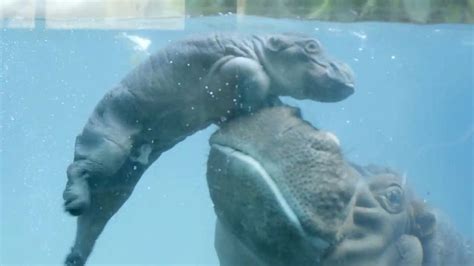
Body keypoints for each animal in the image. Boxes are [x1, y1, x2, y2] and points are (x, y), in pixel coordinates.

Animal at [63, 32, 354, 264]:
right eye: (311, 46)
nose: (347, 70)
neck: (259, 45)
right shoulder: (234, 62)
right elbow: (254, 72)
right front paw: (265, 100)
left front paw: (273, 102)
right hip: (109, 144)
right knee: (78, 168)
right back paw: (74, 201)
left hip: (123, 179)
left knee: (96, 215)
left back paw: (75, 253)